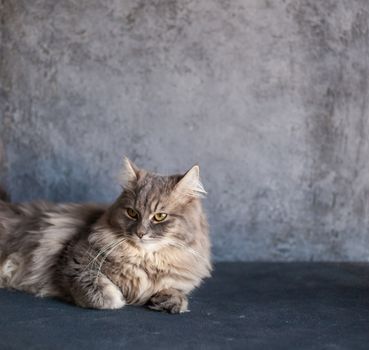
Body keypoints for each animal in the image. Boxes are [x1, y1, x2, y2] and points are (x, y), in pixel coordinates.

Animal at [0, 157, 210, 314]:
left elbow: (173, 290)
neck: (146, 259)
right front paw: (120, 299)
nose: (140, 233)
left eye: (159, 216)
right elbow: (102, 292)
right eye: (132, 213)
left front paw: (171, 302)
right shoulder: (73, 264)